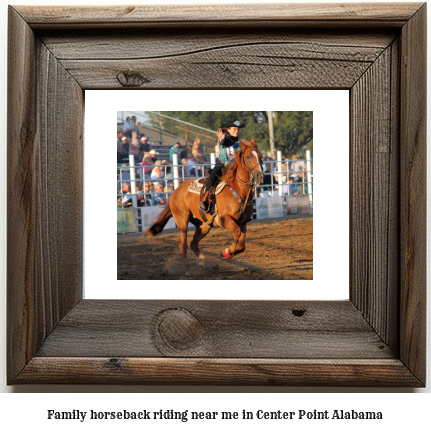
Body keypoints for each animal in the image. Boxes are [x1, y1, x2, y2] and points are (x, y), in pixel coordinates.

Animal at [147, 138, 264, 276]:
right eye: (248, 156)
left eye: (260, 156)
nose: (259, 176)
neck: (237, 190)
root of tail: (175, 192)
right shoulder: (225, 219)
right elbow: (236, 232)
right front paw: (227, 252)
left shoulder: (243, 222)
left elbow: (242, 246)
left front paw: (228, 252)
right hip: (182, 220)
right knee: (183, 244)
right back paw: (188, 270)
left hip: (204, 226)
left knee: (192, 243)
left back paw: (202, 262)